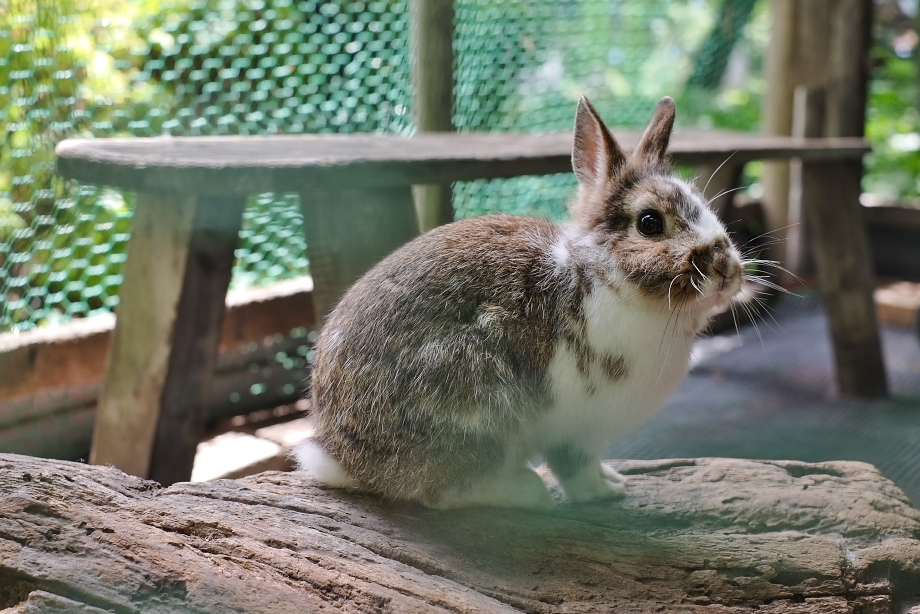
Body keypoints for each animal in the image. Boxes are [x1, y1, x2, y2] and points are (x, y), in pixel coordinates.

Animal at [294, 96, 748, 510]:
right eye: (650, 223)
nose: (727, 269)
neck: (601, 276)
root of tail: (345, 459)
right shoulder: (574, 427)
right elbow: (575, 466)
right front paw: (604, 492)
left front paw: (614, 481)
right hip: (476, 402)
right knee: (444, 491)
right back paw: (526, 492)